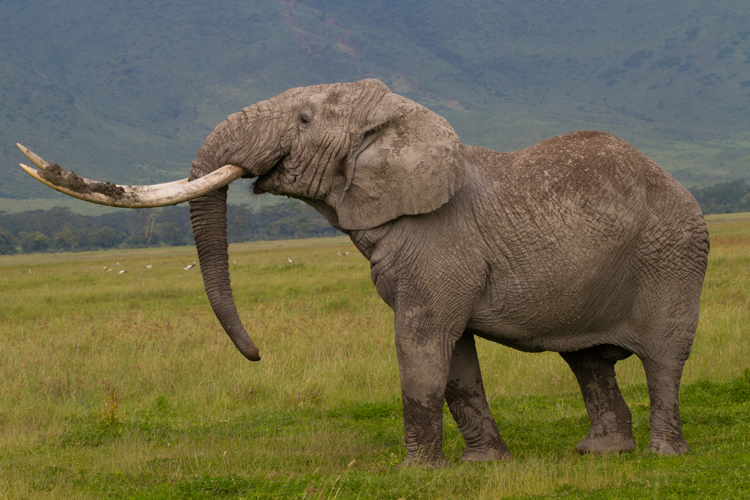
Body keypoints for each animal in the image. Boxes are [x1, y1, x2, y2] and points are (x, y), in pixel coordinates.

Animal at [18, 78, 709, 467]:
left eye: (302, 121)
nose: (257, 354)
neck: (400, 121)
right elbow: (454, 361)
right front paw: (486, 467)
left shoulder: (439, 245)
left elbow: (420, 344)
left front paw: (418, 474)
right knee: (588, 362)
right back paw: (601, 455)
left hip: (674, 256)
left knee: (663, 358)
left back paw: (663, 455)